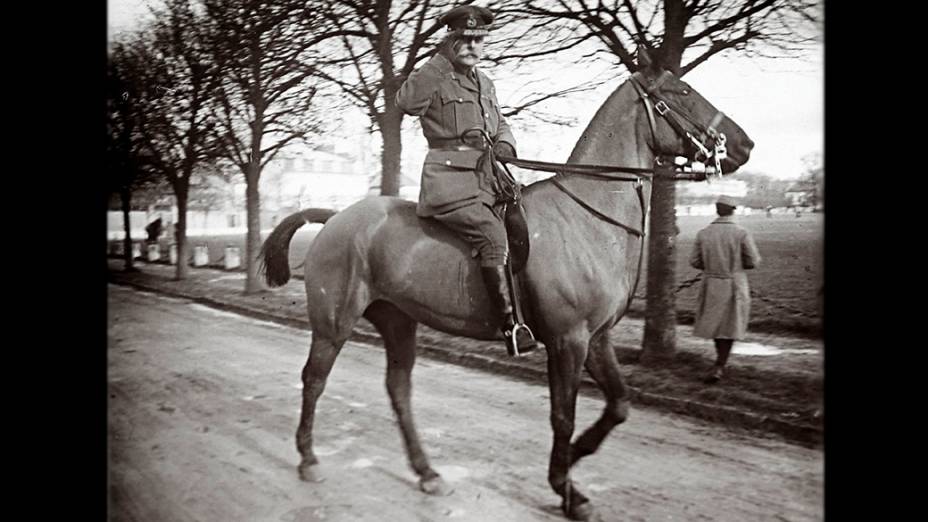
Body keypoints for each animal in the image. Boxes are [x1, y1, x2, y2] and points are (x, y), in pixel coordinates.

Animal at [260, 49, 752, 520]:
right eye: (682, 91)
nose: (744, 144)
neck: (586, 215)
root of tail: (336, 217)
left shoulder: (596, 339)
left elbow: (619, 404)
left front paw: (574, 463)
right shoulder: (568, 341)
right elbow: (562, 416)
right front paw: (566, 488)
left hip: (398, 321)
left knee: (398, 391)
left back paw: (427, 472)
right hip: (334, 323)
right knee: (314, 379)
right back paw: (309, 459)